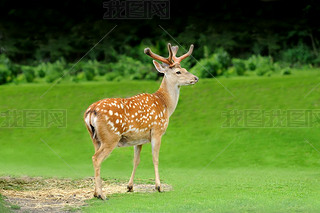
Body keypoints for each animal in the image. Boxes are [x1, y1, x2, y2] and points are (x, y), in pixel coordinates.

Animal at [84, 42, 199, 200]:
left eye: (185, 69)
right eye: (178, 72)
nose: (195, 78)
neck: (165, 104)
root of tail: (91, 112)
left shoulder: (138, 138)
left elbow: (136, 161)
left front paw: (130, 186)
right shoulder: (157, 130)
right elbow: (155, 158)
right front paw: (158, 187)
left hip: (95, 138)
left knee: (95, 157)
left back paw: (96, 193)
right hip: (110, 137)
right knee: (96, 158)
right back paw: (101, 194)